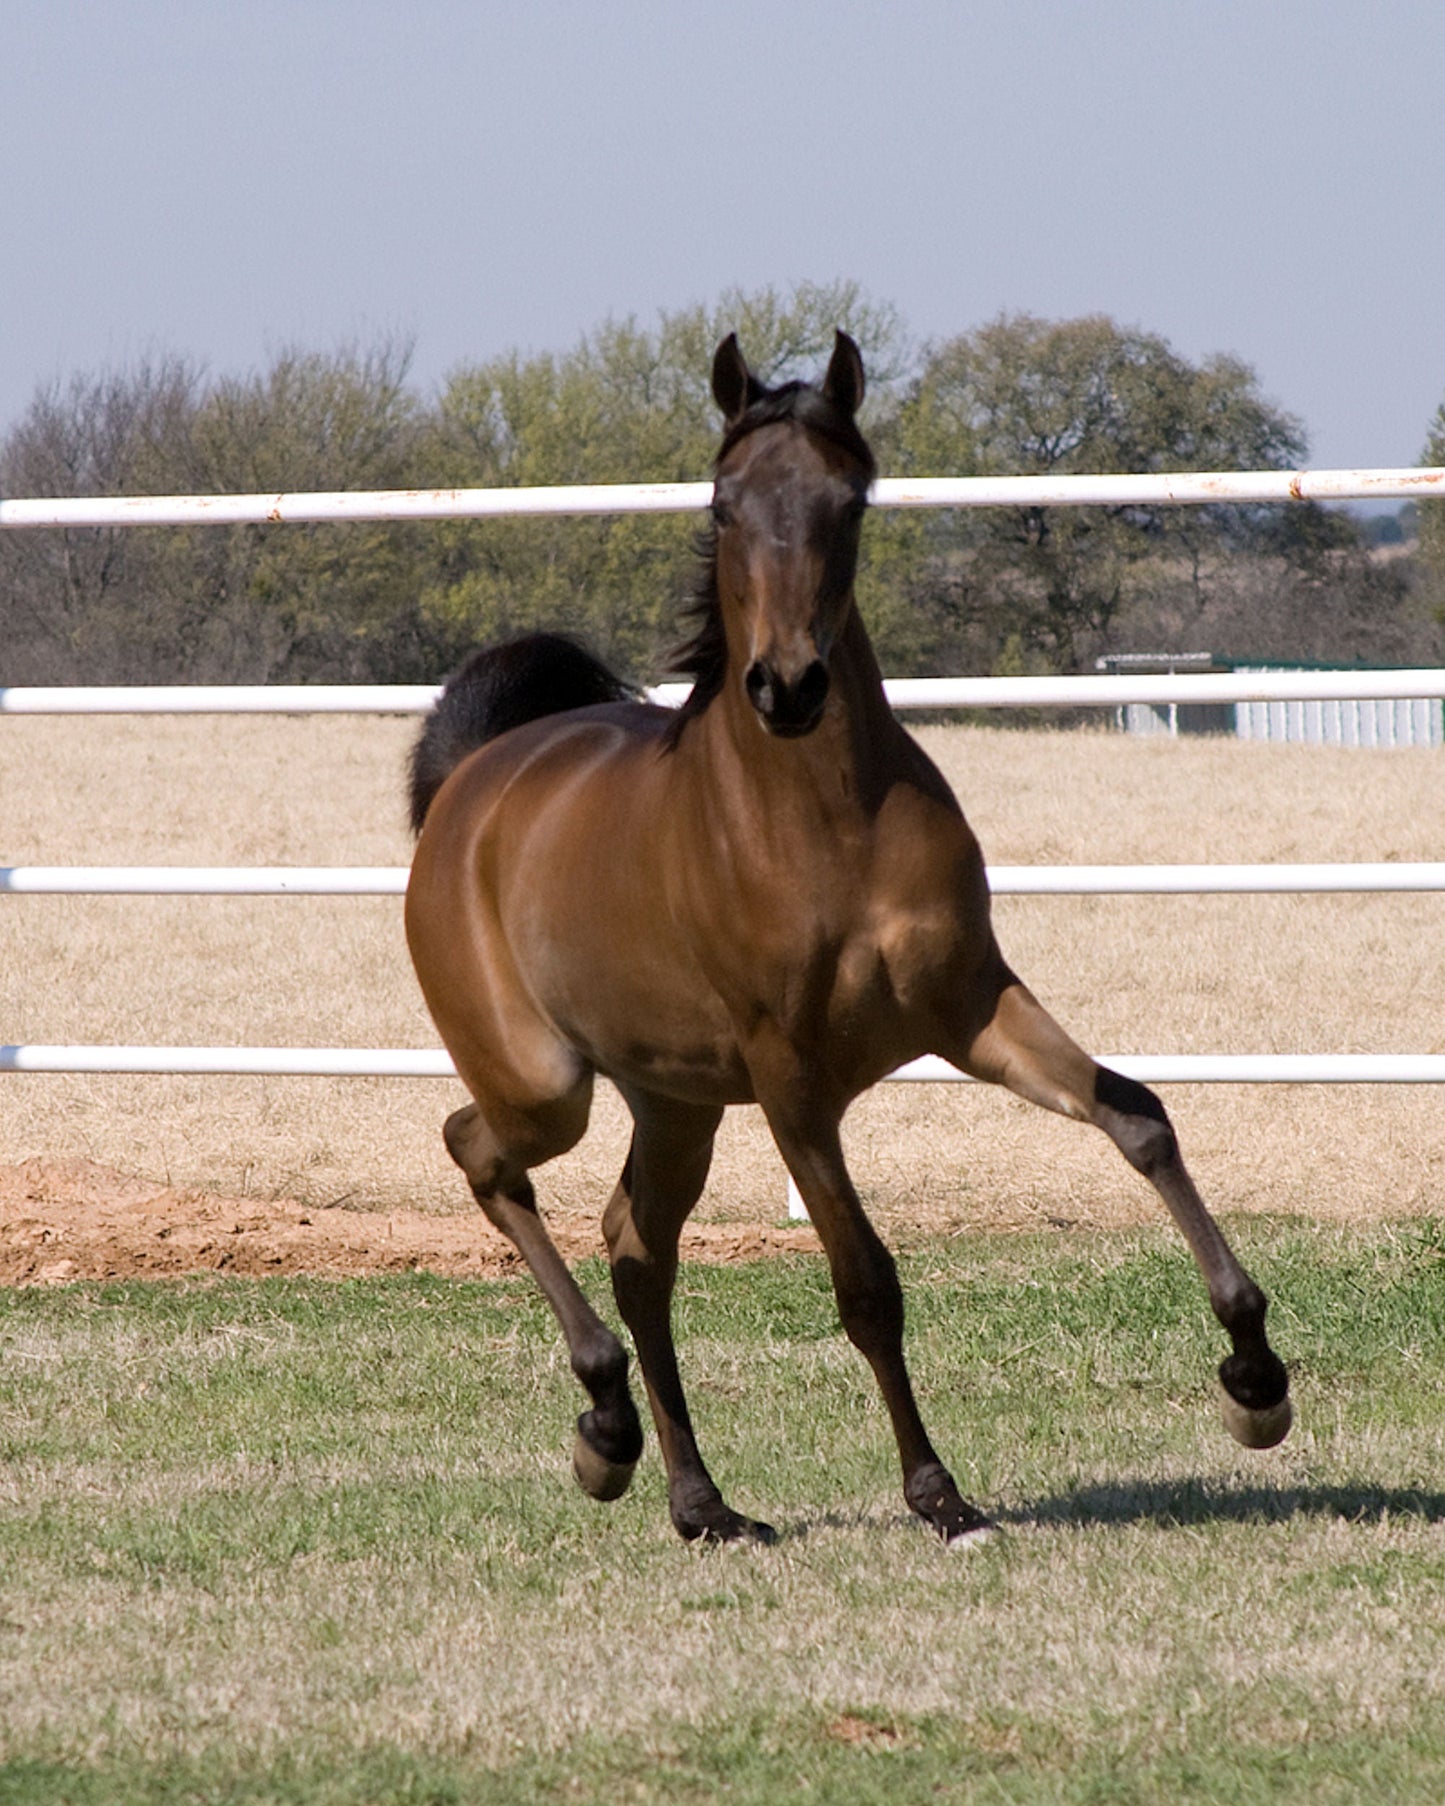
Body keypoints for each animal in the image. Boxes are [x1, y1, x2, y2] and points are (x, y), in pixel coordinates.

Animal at [400, 332, 1293, 1545]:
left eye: (848, 501)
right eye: (723, 503)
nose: (786, 685)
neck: (825, 825)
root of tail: (471, 784)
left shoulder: (971, 1007)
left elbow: (1138, 1120)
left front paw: (1254, 1382)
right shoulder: (792, 1080)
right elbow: (864, 1281)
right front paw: (939, 1496)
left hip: (673, 1100)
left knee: (635, 1246)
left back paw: (696, 1500)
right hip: (547, 1084)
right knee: (480, 1151)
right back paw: (605, 1429)